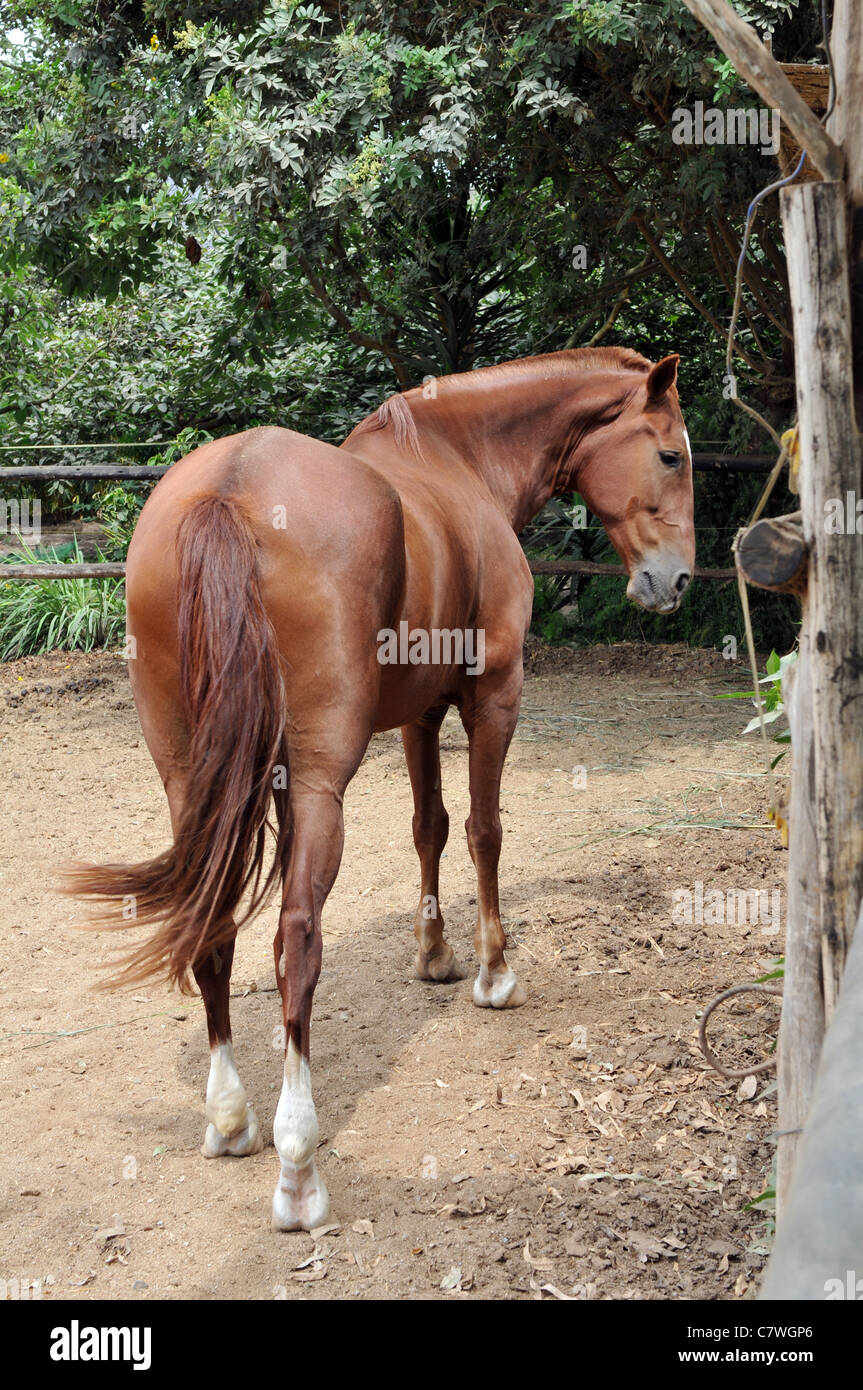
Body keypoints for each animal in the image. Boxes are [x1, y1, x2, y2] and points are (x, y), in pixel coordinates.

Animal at [67, 344, 692, 1228]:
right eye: (669, 455)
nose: (675, 583)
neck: (456, 462)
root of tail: (228, 487)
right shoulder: (493, 693)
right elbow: (482, 829)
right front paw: (492, 972)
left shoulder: (418, 714)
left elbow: (428, 825)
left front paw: (432, 954)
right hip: (321, 782)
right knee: (295, 941)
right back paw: (297, 1167)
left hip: (192, 779)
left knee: (214, 928)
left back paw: (232, 1119)